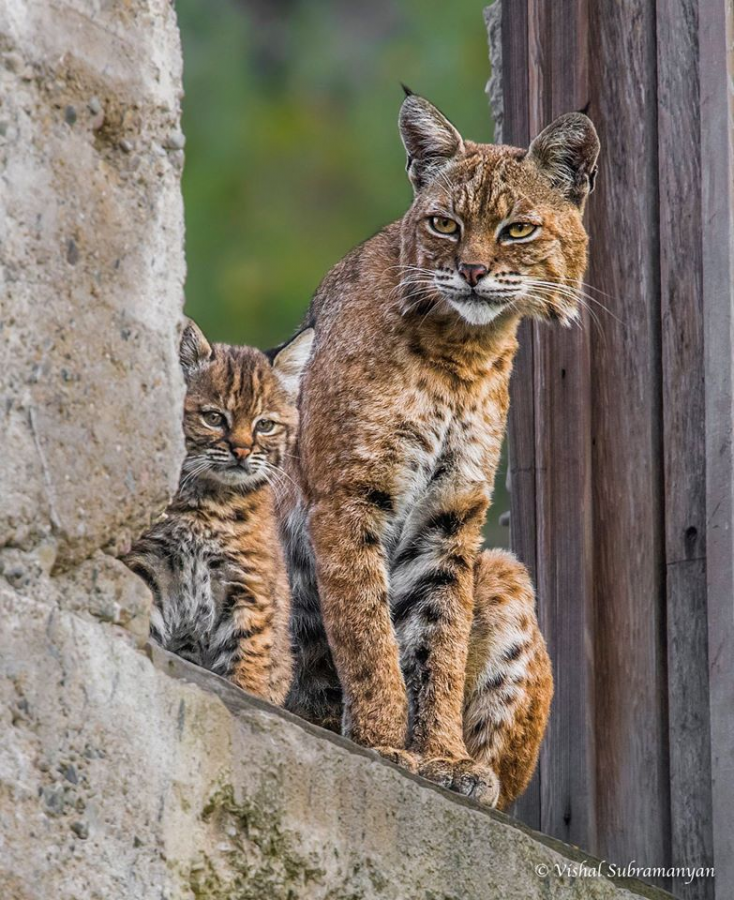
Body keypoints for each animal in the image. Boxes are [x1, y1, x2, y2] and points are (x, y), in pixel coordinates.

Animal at [123, 320, 314, 708]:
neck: (211, 502)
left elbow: (248, 661)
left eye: (264, 425)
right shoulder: (150, 563)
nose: (241, 451)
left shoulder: (249, 589)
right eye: (214, 418)